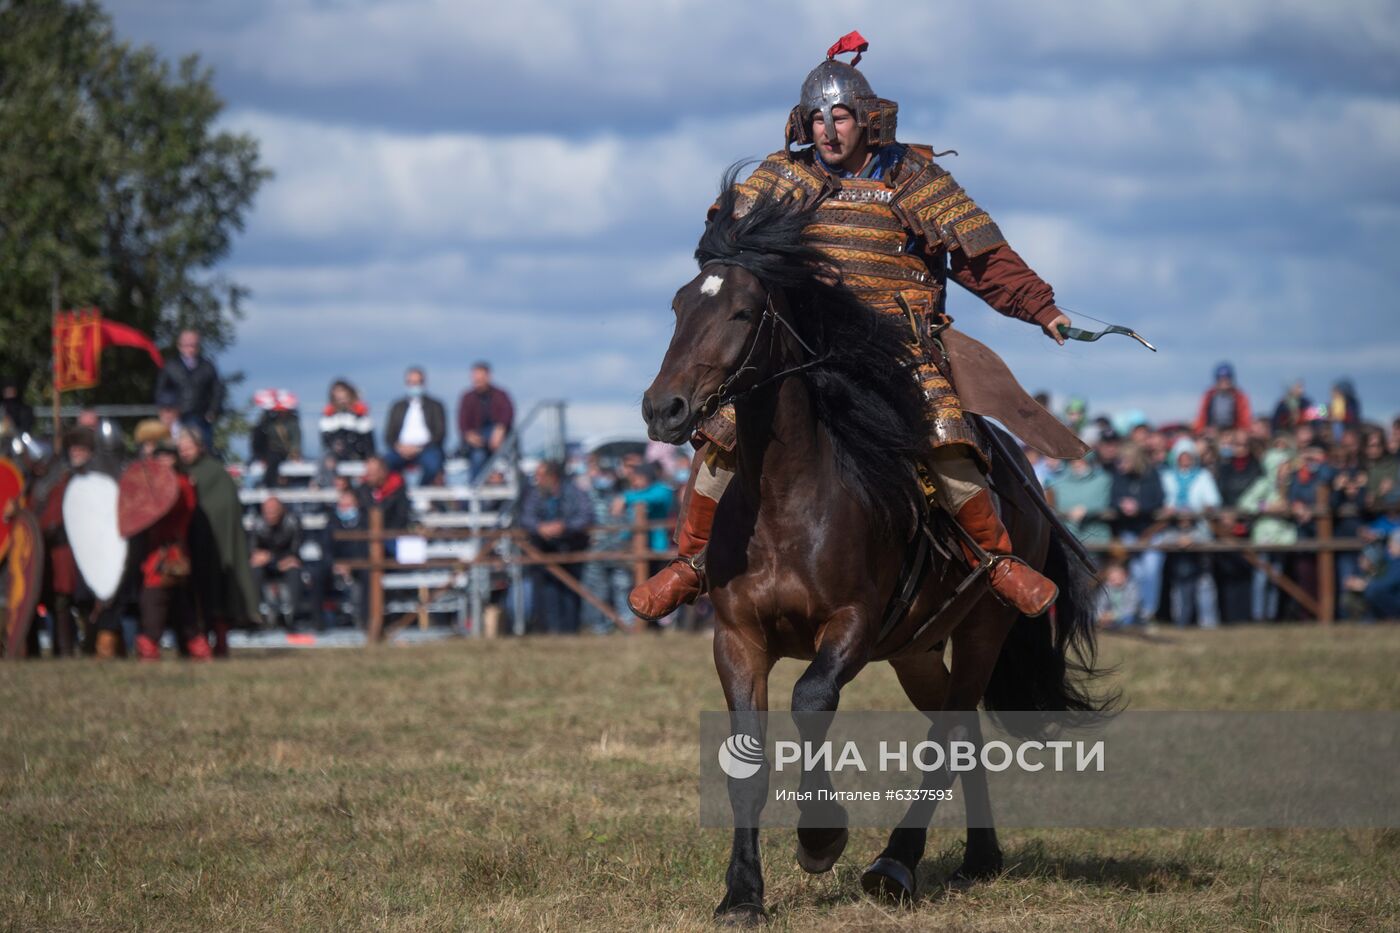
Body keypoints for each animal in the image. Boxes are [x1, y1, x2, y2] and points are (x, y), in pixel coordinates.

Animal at [644, 170, 1114, 918]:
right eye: (680, 306)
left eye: (743, 313)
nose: (664, 408)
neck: (786, 501)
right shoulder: (737, 637)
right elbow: (746, 759)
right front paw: (742, 893)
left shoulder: (853, 626)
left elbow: (811, 699)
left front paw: (820, 838)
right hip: (917, 648)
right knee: (961, 727)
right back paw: (979, 857)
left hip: (981, 628)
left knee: (949, 734)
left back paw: (897, 861)